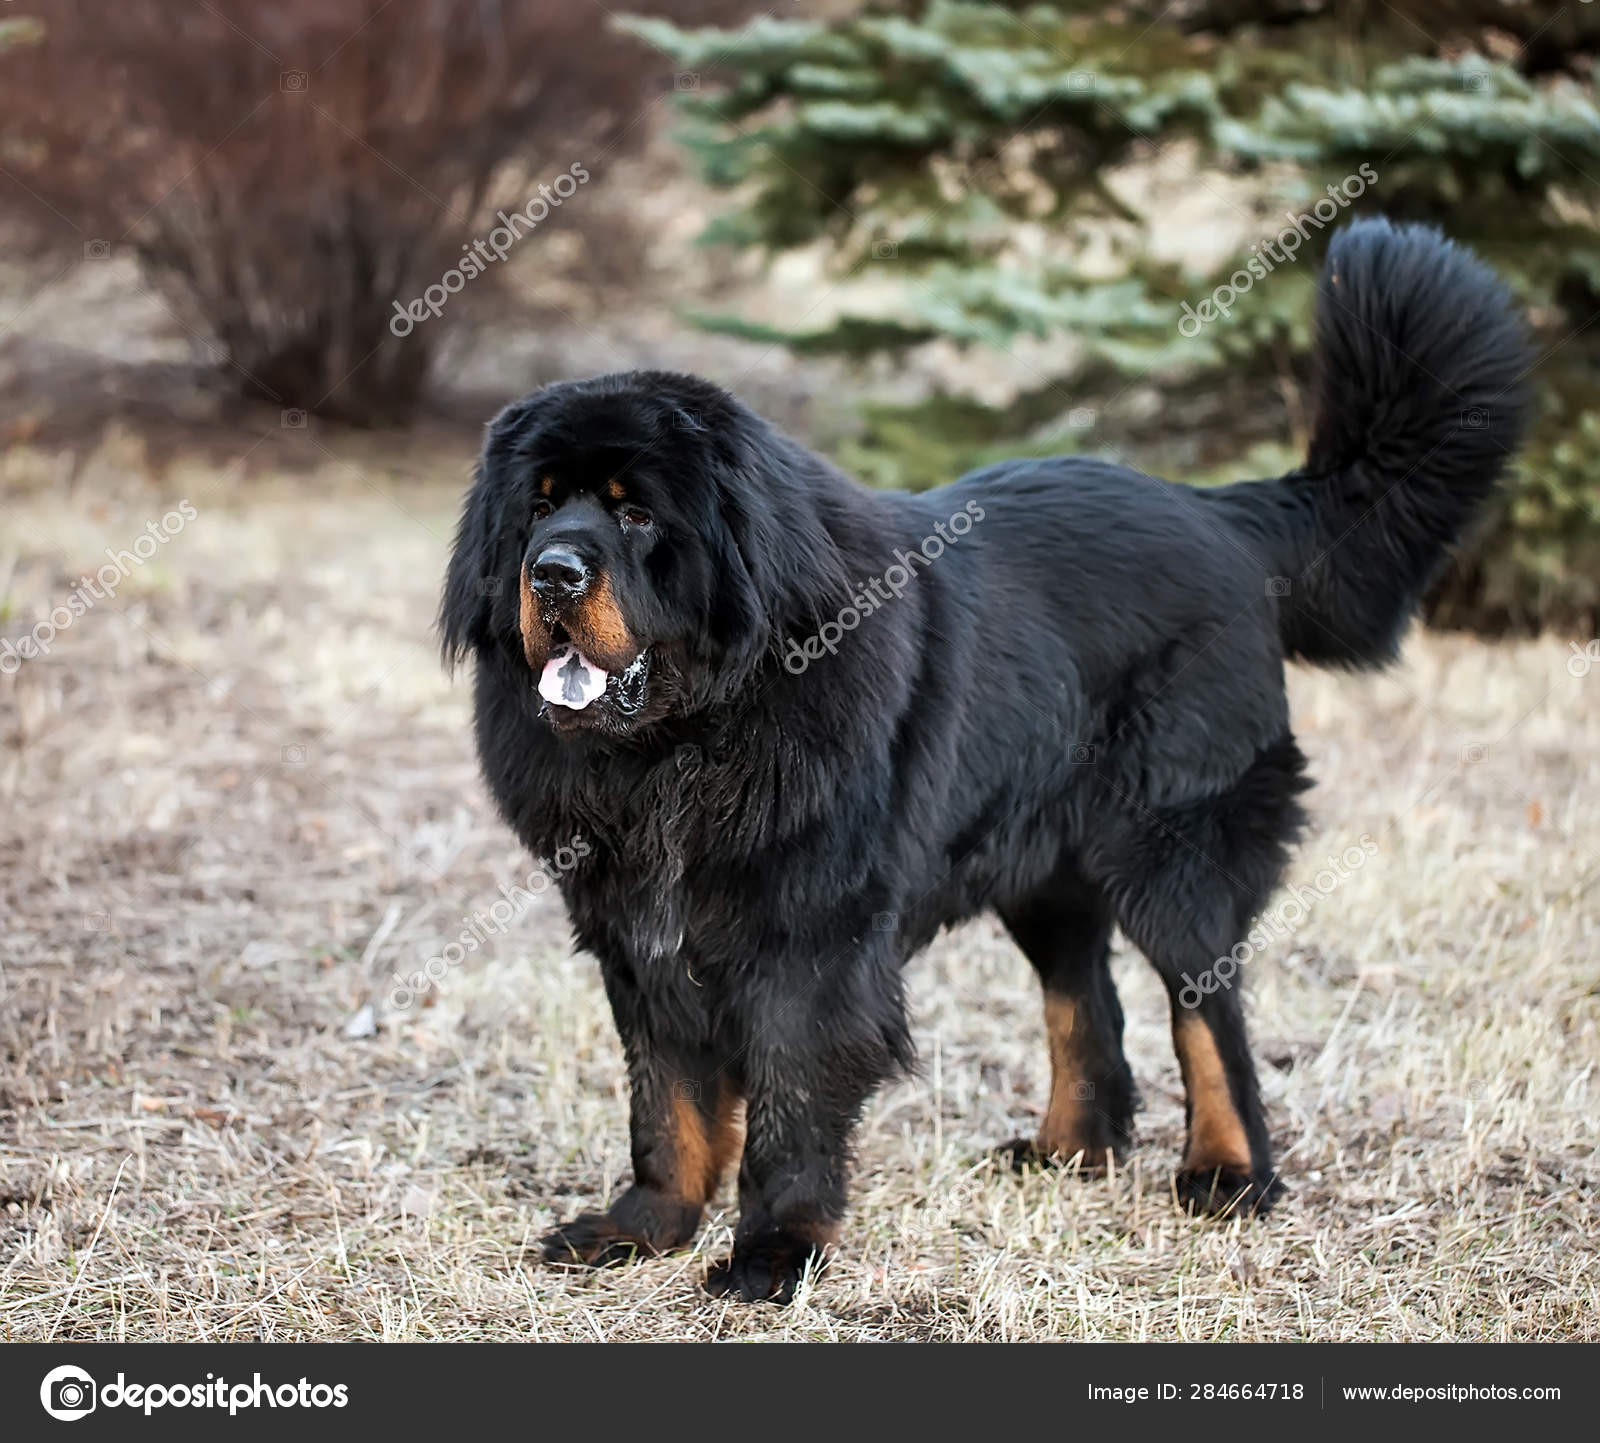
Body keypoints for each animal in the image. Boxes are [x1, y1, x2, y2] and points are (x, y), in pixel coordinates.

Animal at [438, 217, 1523, 1311]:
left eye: (636, 514)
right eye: (538, 510)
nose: (552, 573)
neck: (683, 743)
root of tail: (1219, 514)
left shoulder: (809, 943)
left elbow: (789, 1104)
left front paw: (773, 1251)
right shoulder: (636, 932)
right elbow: (666, 1100)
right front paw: (643, 1226)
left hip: (1173, 849)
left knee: (1204, 1009)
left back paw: (1226, 1173)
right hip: (1042, 864)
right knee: (1085, 1000)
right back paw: (1068, 1152)